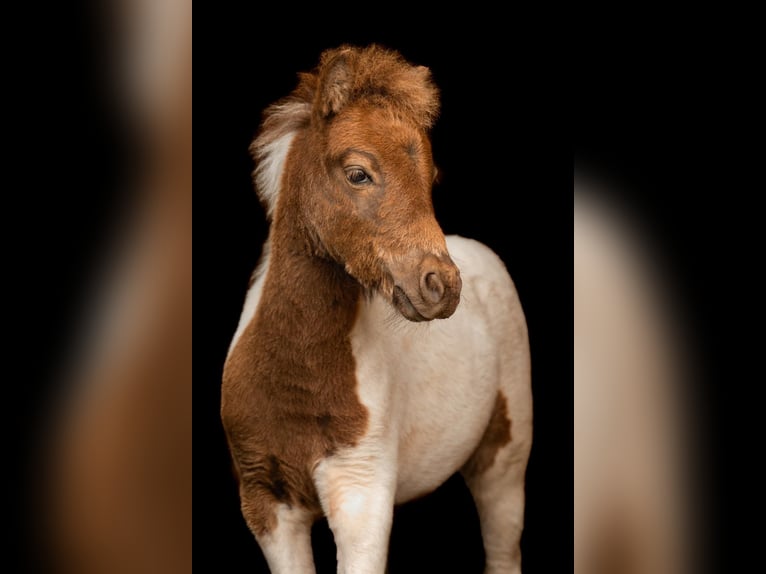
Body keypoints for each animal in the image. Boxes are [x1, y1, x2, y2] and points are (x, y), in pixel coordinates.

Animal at [222, 46, 536, 574]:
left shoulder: (361, 495)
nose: (442, 286)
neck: (293, 378)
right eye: (358, 173)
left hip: (505, 462)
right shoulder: (265, 502)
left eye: (431, 179)